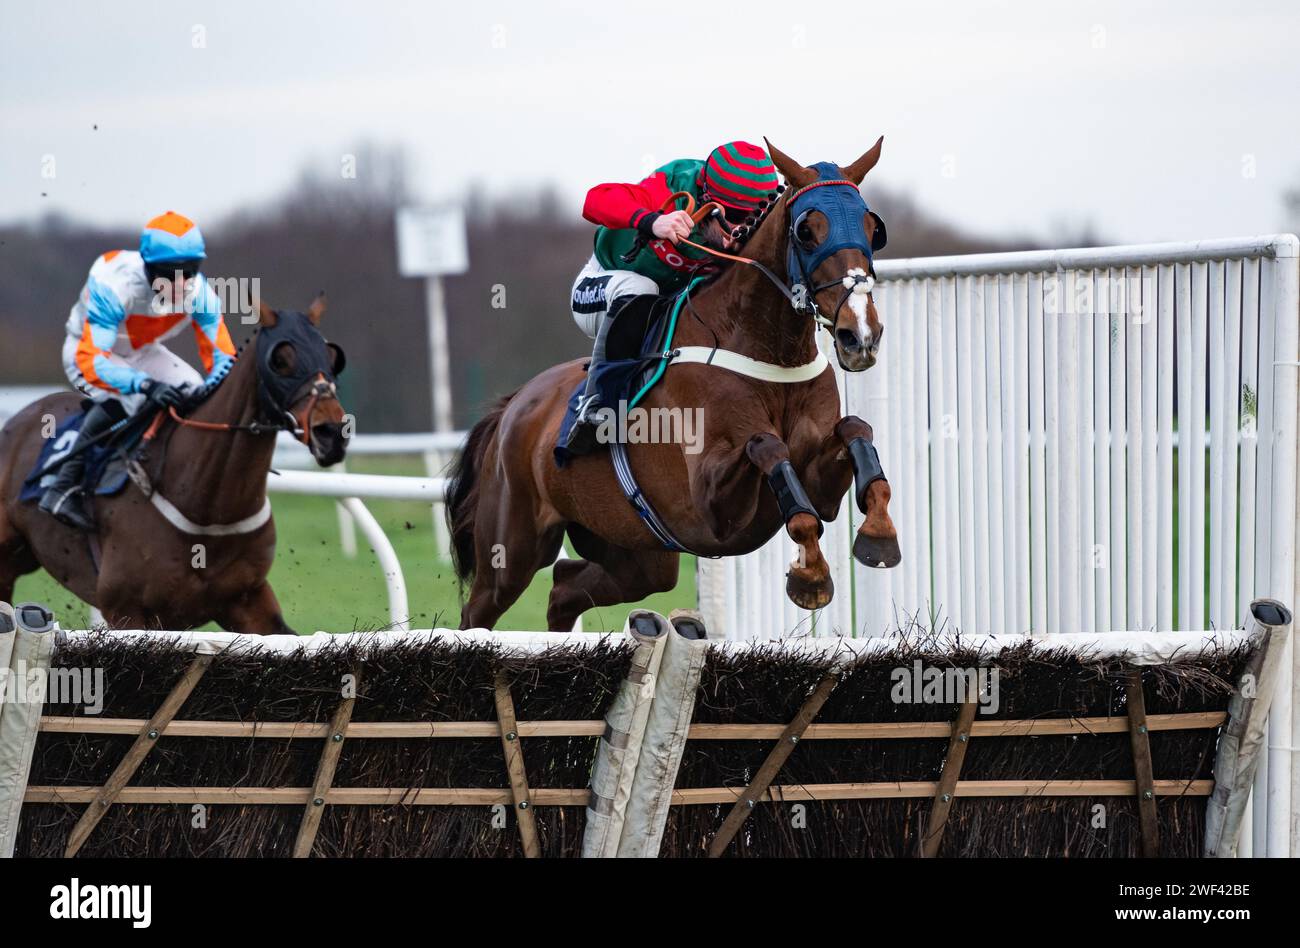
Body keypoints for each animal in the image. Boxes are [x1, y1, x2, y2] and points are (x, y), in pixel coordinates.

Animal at [0, 299, 348, 632]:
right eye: (280, 360)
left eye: (332, 356)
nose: (331, 433)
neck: (208, 508)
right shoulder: (126, 610)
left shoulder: (247, 599)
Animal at [452, 138, 899, 629]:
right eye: (806, 230)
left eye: (872, 227)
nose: (860, 335)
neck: (768, 352)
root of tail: (514, 406)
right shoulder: (709, 505)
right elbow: (767, 446)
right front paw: (811, 573)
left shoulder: (819, 483)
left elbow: (856, 429)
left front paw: (879, 533)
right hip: (511, 548)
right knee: (478, 611)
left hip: (638, 553)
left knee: (564, 589)